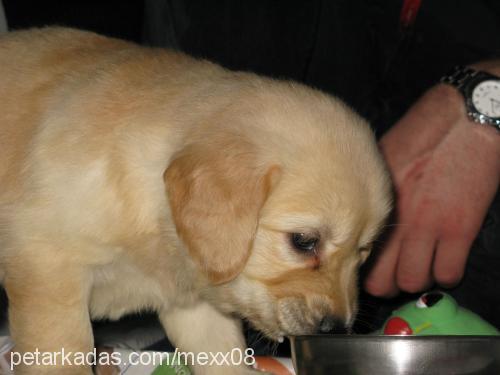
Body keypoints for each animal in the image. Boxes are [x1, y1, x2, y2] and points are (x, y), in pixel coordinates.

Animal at [0, 27, 390, 375]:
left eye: (364, 251)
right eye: (304, 242)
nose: (337, 329)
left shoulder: (194, 303)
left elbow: (223, 356)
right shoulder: (48, 268)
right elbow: (61, 351)